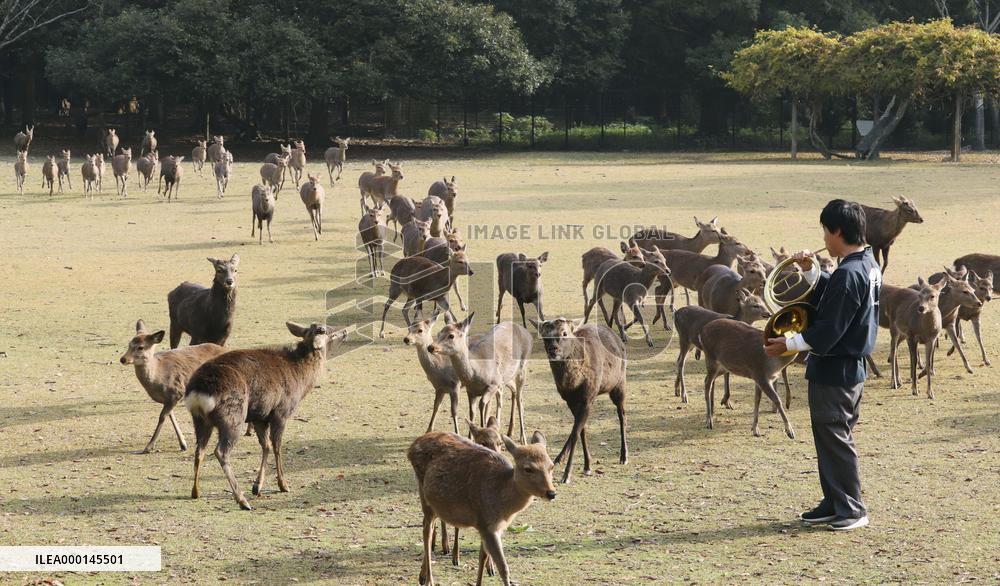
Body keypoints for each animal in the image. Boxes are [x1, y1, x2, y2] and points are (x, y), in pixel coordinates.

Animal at [408, 429, 555, 586]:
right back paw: (429, 579)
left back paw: (422, 576)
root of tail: (412, 446)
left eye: (551, 466)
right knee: (426, 530)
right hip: (423, 493)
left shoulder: (490, 526)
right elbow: (503, 567)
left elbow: (482, 557)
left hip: (436, 504)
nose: (551, 493)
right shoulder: (487, 524)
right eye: (528, 468)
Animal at [427, 313, 532, 443]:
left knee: (519, 399)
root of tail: (527, 333)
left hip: (522, 368)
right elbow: (472, 412)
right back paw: (510, 432)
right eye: (438, 333)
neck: (476, 372)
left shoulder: (493, 384)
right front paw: (470, 438)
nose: (431, 347)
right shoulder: (470, 391)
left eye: (451, 335)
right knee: (512, 394)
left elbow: (482, 405)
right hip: (507, 378)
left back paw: (524, 439)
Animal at [531, 317, 628, 484]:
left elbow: (577, 432)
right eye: (544, 335)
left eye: (564, 333)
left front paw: (567, 474)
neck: (574, 383)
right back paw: (558, 458)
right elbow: (580, 430)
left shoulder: (587, 397)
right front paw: (587, 465)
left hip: (619, 383)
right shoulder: (571, 400)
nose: (552, 349)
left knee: (622, 414)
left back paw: (624, 456)